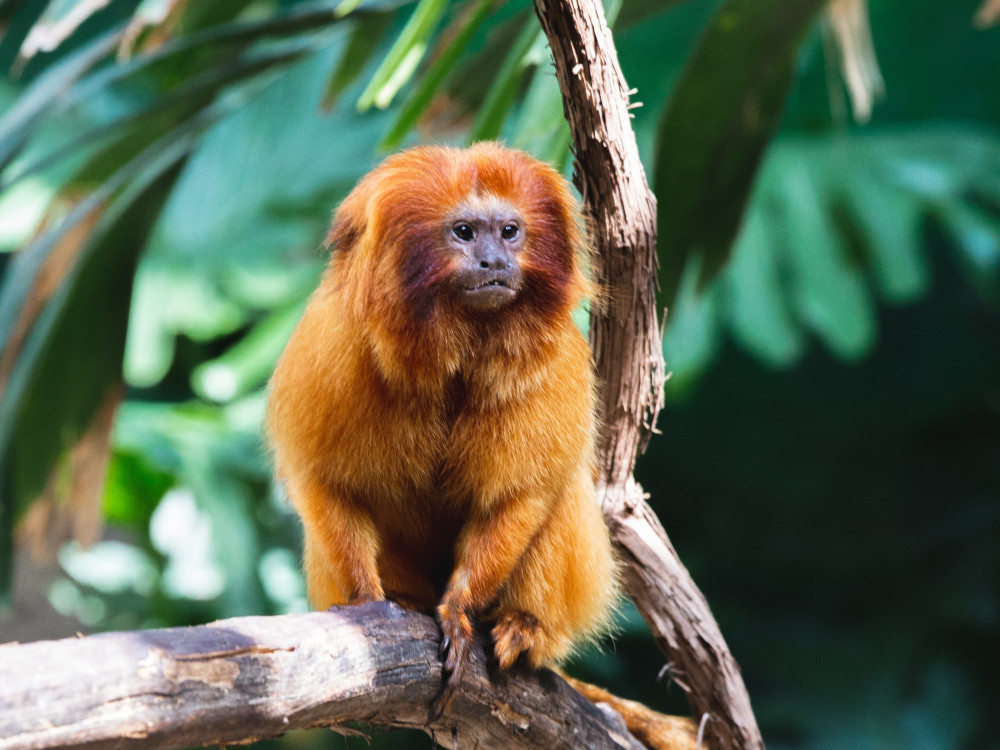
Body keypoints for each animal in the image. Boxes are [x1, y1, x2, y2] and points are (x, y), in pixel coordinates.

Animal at [266, 143, 698, 748]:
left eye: (510, 232)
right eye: (465, 232)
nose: (494, 261)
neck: (454, 340)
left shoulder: (556, 362)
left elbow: (520, 497)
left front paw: (459, 611)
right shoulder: (335, 343)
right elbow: (328, 486)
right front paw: (369, 602)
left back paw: (526, 627)